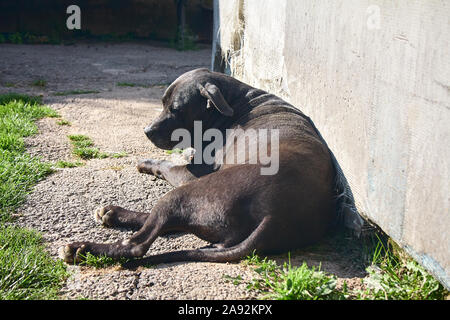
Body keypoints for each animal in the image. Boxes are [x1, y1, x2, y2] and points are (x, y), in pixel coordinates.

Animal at [59, 68, 342, 268]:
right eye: (162, 103)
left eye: (175, 109)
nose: (147, 131)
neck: (233, 102)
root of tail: (275, 215)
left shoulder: (189, 174)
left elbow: (168, 164)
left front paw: (148, 162)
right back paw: (113, 214)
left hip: (186, 192)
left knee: (139, 242)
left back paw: (84, 248)